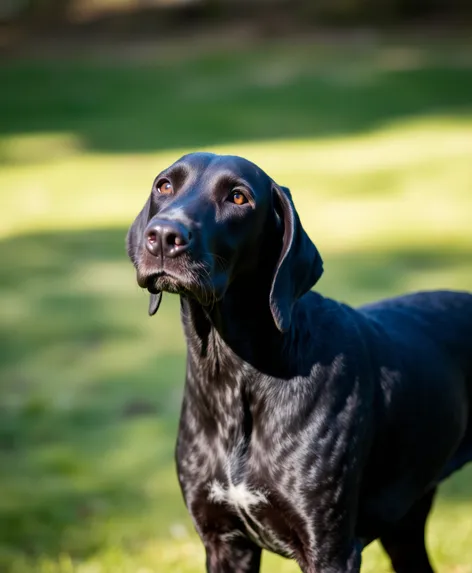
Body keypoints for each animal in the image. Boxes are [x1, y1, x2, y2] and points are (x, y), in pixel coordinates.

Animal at [126, 150, 472, 568]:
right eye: (164, 186)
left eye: (238, 197)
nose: (163, 236)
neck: (233, 375)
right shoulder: (224, 542)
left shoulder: (330, 550)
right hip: (403, 522)